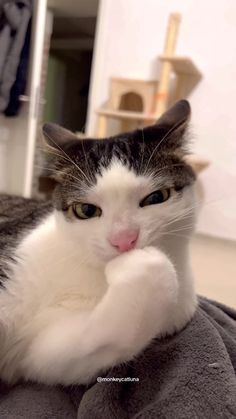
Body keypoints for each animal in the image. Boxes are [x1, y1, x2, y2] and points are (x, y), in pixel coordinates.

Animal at [0, 100, 197, 386]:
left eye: (157, 197)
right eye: (86, 210)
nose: (124, 240)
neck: (93, 278)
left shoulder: (39, 350)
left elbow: (85, 346)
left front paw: (137, 267)